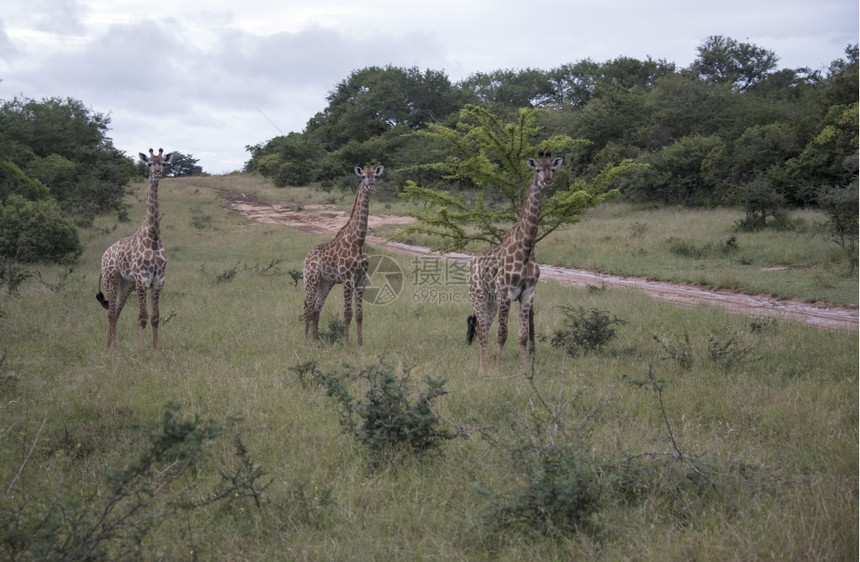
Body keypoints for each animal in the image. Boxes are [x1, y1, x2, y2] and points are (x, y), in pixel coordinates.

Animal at [96, 147, 174, 348]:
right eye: (149, 163)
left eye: (164, 163)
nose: (157, 173)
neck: (153, 238)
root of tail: (105, 254)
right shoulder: (142, 279)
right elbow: (142, 317)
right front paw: (141, 348)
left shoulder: (158, 280)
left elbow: (155, 317)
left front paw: (155, 349)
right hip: (112, 278)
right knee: (111, 313)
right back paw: (110, 348)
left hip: (126, 283)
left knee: (116, 311)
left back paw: (111, 346)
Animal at [302, 164, 382, 344]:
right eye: (363, 177)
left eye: (375, 176)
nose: (371, 185)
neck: (358, 241)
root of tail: (306, 257)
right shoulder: (347, 278)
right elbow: (348, 313)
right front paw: (346, 344)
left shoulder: (361, 279)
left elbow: (359, 314)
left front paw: (360, 344)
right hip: (311, 278)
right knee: (307, 308)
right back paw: (306, 340)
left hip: (326, 282)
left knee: (316, 308)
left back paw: (316, 339)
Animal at [466, 151, 560, 370]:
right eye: (537, 169)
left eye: (552, 168)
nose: (548, 180)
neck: (525, 249)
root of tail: (471, 264)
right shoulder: (505, 293)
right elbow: (502, 334)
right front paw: (499, 368)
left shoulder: (528, 293)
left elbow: (522, 335)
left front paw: (525, 369)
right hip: (478, 295)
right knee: (481, 330)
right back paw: (484, 369)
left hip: (490, 300)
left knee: (484, 328)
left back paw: (485, 365)